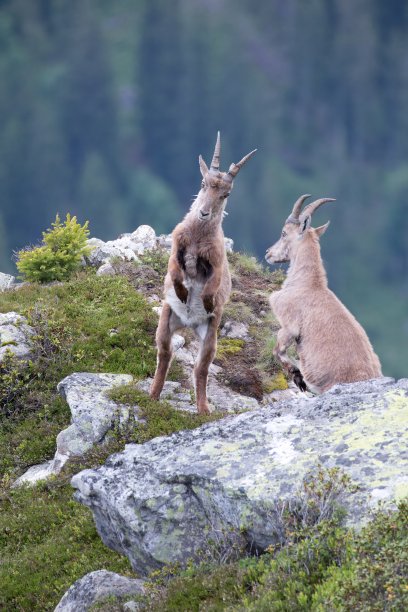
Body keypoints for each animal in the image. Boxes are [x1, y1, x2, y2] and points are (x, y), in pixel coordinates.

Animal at [150, 132, 258, 414]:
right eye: (203, 183)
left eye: (226, 193)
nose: (204, 212)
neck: (198, 237)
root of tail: (188, 324)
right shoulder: (176, 247)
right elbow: (174, 270)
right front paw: (180, 291)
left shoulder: (217, 262)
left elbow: (213, 283)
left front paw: (207, 301)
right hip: (166, 320)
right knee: (165, 353)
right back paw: (153, 394)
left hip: (210, 334)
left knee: (201, 368)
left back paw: (203, 408)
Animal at [266, 196, 380, 394]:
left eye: (283, 233)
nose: (268, 253)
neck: (309, 284)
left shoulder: (290, 324)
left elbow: (279, 350)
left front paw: (299, 378)